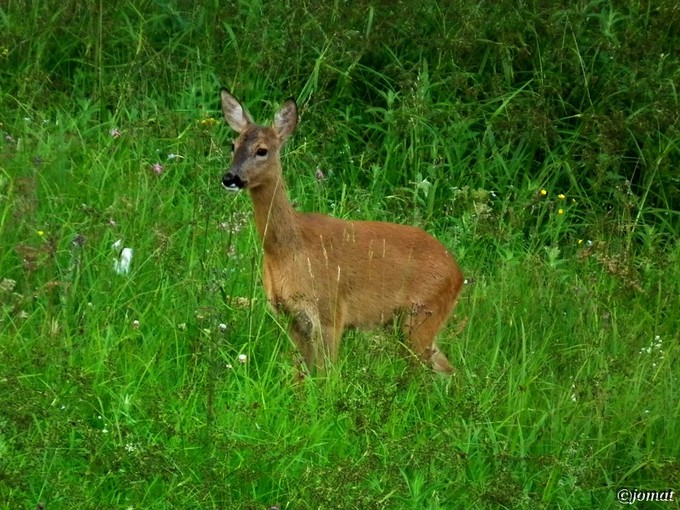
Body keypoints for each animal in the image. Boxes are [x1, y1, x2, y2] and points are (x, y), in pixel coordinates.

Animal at [220, 87, 464, 376]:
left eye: (262, 150)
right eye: (232, 145)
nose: (230, 178)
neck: (288, 250)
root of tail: (459, 274)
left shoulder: (330, 312)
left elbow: (327, 376)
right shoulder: (291, 317)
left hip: (422, 316)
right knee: (448, 370)